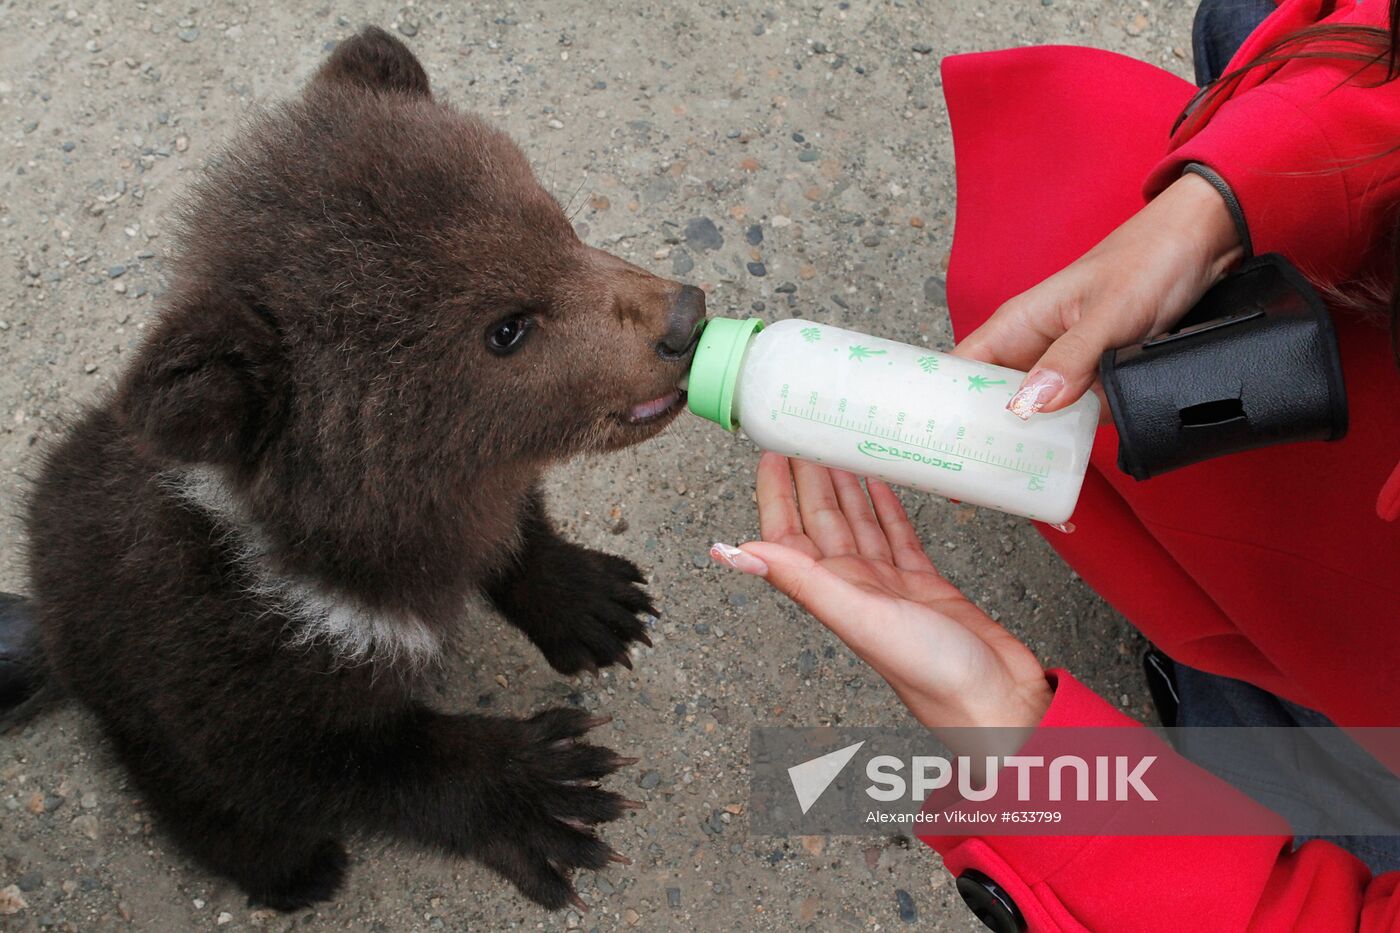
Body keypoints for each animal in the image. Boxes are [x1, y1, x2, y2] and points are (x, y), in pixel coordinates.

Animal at [21, 26, 705, 912]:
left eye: (554, 220)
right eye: (507, 328)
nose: (684, 318)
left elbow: (515, 527)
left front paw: (595, 602)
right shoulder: (230, 667)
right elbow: (341, 759)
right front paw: (547, 784)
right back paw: (291, 867)